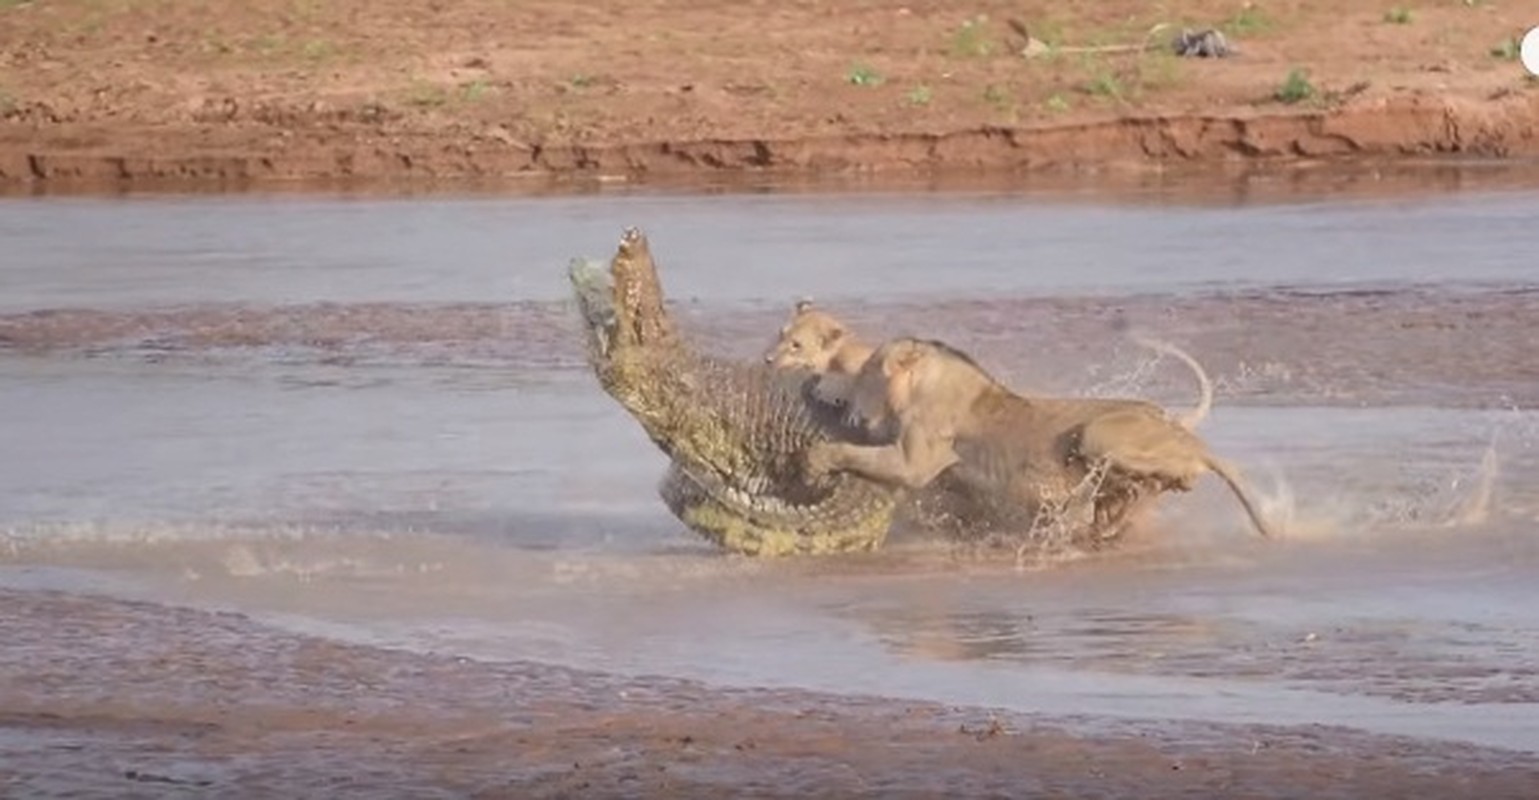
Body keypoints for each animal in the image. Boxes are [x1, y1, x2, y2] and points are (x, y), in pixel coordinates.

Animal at [806, 333, 1274, 541]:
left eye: (866, 368)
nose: (816, 381)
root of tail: (1181, 429)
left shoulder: (916, 461)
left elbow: (853, 452)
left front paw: (816, 462)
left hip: (1097, 433)